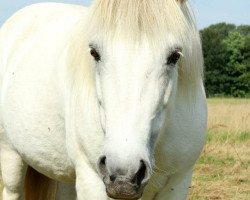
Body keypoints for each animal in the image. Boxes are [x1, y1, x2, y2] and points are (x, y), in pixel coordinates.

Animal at [0, 0, 207, 199]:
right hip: (11, 159)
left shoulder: (177, 183)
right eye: (94, 53)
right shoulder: (91, 180)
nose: (124, 176)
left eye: (174, 56)